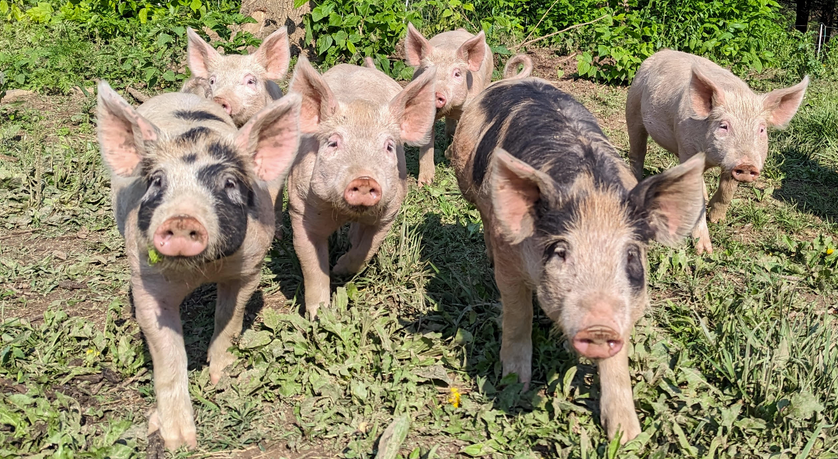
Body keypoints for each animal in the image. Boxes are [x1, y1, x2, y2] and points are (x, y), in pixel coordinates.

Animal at [97, 81, 301, 450]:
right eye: (157, 181)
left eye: (229, 183)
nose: (181, 219)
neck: (200, 270)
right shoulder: (145, 281)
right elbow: (169, 355)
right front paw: (179, 442)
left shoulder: (250, 269)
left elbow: (229, 319)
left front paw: (222, 377)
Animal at [286, 56, 436, 317]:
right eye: (333, 143)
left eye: (388, 146)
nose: (364, 180)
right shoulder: (300, 207)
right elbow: (313, 268)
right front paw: (319, 316)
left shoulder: (389, 213)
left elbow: (366, 250)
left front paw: (339, 268)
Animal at [446, 77, 706, 443]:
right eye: (560, 251)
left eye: (630, 255)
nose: (599, 326)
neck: (590, 192)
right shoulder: (510, 258)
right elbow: (518, 315)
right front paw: (514, 386)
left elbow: (617, 360)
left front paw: (626, 436)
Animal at [626, 49, 808, 254]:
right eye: (723, 126)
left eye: (761, 129)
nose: (747, 165)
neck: (712, 158)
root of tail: (660, 53)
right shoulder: (687, 148)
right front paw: (704, 251)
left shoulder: (730, 164)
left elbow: (727, 189)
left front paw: (717, 220)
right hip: (632, 108)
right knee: (637, 151)